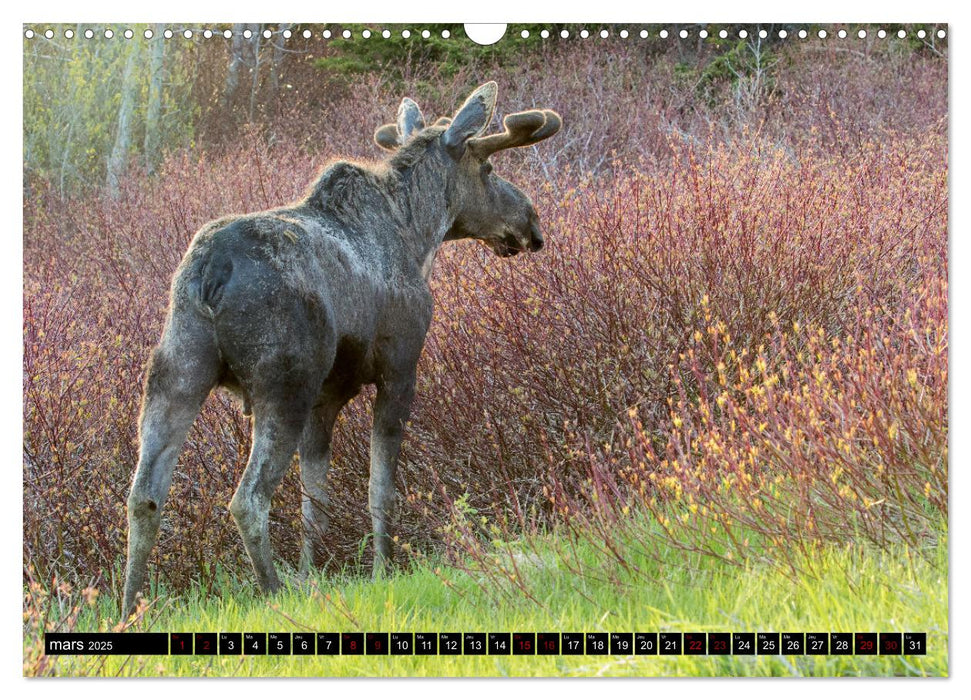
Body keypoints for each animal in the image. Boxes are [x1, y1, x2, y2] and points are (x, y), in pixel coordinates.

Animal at [121, 83, 560, 616]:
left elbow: (315, 501)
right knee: (247, 499)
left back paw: (128, 609)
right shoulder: (399, 368)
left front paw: (314, 574)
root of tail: (209, 273)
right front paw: (380, 570)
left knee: (144, 495)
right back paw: (273, 594)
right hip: (282, 383)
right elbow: (379, 489)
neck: (419, 235)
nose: (531, 223)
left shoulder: (325, 399)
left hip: (176, 370)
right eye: (489, 168)